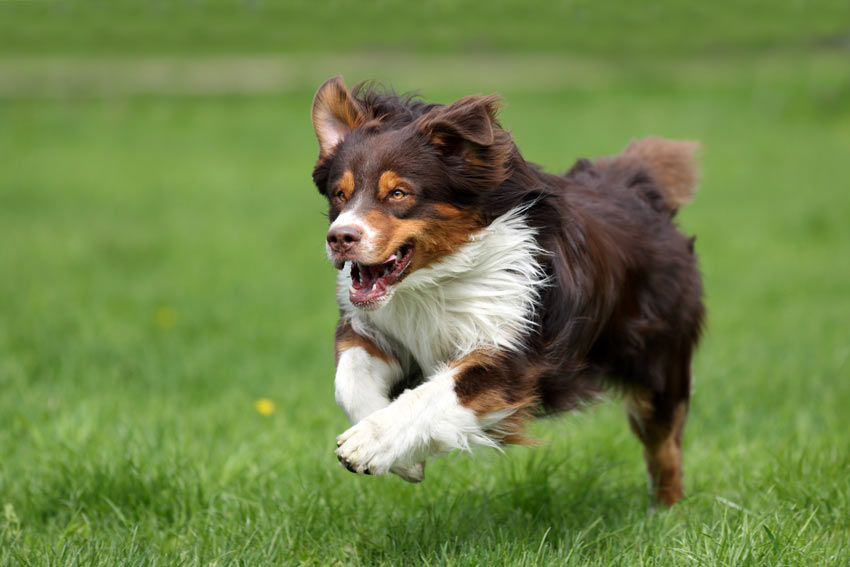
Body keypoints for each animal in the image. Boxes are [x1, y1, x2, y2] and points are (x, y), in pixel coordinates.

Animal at [312, 75, 704, 506]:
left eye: (398, 193)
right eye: (340, 195)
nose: (340, 238)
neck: (436, 280)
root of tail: (637, 188)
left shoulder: (513, 349)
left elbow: (434, 393)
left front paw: (368, 443)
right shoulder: (375, 328)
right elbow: (349, 379)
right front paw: (405, 461)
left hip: (660, 360)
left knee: (664, 442)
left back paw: (667, 511)